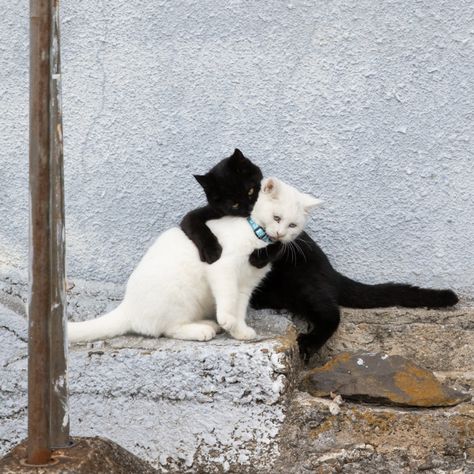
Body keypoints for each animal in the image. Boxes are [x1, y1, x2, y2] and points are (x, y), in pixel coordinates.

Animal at [67, 176, 318, 342]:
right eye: (276, 218)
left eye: (292, 225)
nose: (281, 234)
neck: (257, 238)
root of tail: (128, 307)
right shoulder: (223, 268)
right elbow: (228, 298)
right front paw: (227, 320)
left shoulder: (247, 284)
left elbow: (239, 306)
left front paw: (239, 331)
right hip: (179, 297)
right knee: (166, 329)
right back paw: (202, 330)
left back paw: (208, 324)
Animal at [180, 150, 458, 358]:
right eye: (234, 202)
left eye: (250, 190)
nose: (249, 206)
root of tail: (332, 272)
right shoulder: (207, 213)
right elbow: (191, 220)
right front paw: (212, 250)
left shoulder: (286, 241)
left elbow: (280, 245)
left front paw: (254, 255)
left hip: (302, 285)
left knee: (331, 313)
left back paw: (308, 343)